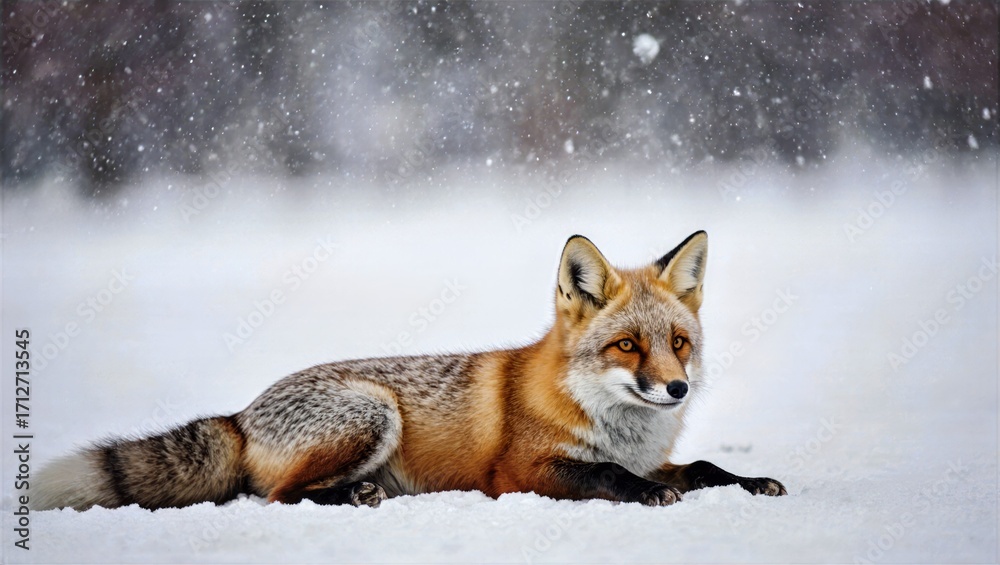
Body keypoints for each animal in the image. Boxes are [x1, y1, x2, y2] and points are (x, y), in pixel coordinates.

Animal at [33, 231, 786, 511]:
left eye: (678, 344)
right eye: (628, 346)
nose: (677, 388)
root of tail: (242, 414)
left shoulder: (653, 454)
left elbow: (704, 466)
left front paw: (753, 482)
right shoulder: (520, 473)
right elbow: (609, 477)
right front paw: (647, 494)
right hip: (373, 412)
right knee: (277, 495)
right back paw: (359, 496)